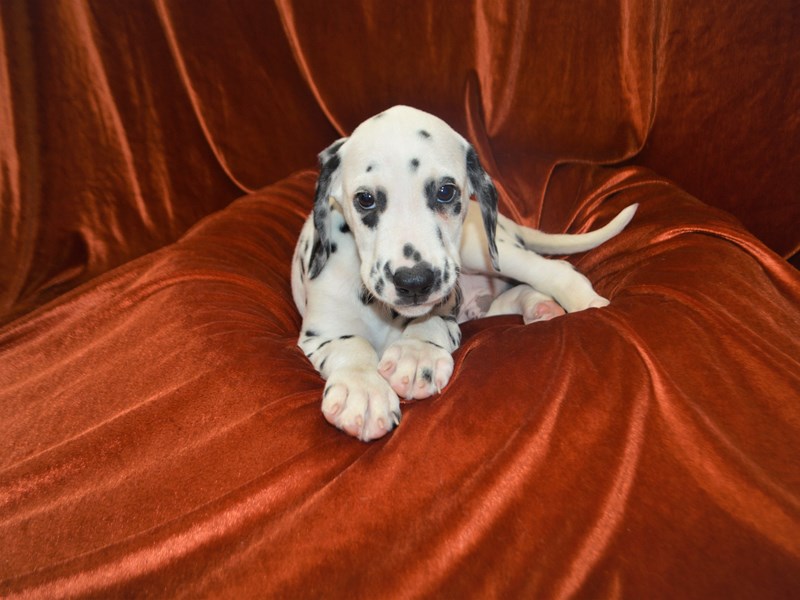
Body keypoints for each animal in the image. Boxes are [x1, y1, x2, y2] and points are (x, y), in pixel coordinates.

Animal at [290, 106, 636, 440]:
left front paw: (417, 354)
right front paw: (362, 389)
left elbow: (430, 322)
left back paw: (584, 303)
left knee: (554, 269)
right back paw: (539, 306)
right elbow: (352, 344)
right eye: (365, 199)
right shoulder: (322, 333)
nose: (414, 281)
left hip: (482, 251)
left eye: (445, 192)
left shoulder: (445, 305)